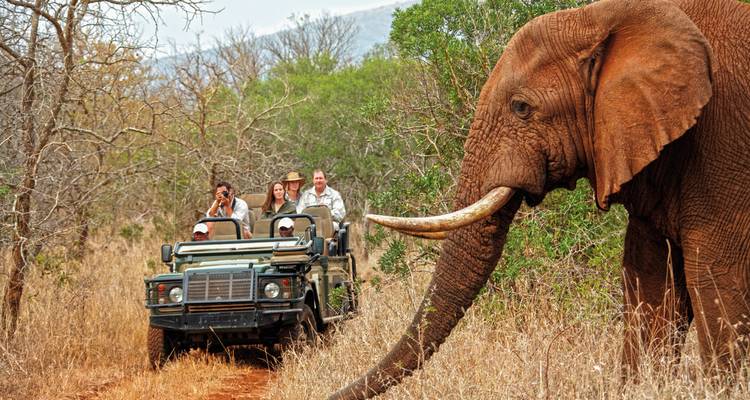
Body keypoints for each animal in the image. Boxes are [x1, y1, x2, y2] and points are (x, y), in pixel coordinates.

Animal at [330, 0, 750, 398]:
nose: (332, 392)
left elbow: (716, 279)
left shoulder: (723, 142)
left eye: (521, 108)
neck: (606, 17)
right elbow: (651, 285)